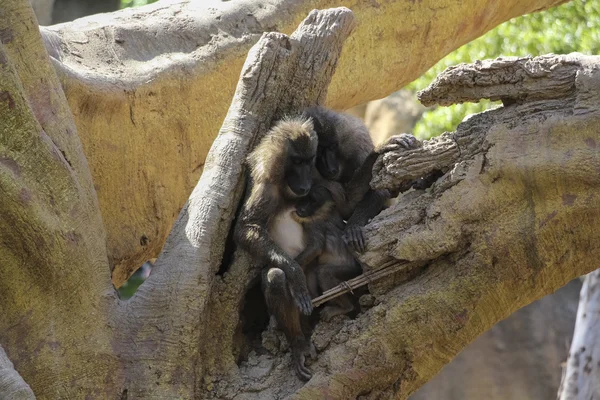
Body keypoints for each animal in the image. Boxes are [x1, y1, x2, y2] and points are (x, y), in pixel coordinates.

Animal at [233, 115, 318, 382]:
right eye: (297, 161)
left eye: (309, 161)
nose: (305, 183)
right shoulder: (266, 186)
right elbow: (247, 227)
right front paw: (295, 273)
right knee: (276, 277)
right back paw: (298, 342)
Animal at [304, 104, 418, 252]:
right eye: (318, 152)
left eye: (332, 147)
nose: (331, 168)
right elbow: (346, 204)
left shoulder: (356, 140)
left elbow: (378, 191)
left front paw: (354, 226)